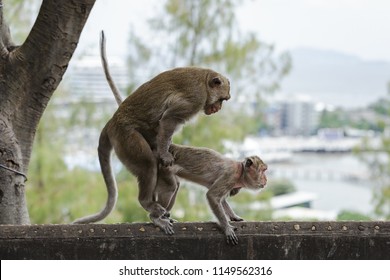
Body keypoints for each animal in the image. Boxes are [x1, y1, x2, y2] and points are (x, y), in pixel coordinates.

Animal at [73, 31, 230, 234]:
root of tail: (111, 122)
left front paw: (165, 150)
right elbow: (169, 119)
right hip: (125, 137)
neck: (205, 80)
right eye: (222, 99)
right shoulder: (195, 98)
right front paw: (165, 153)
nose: (218, 108)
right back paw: (148, 203)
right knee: (148, 163)